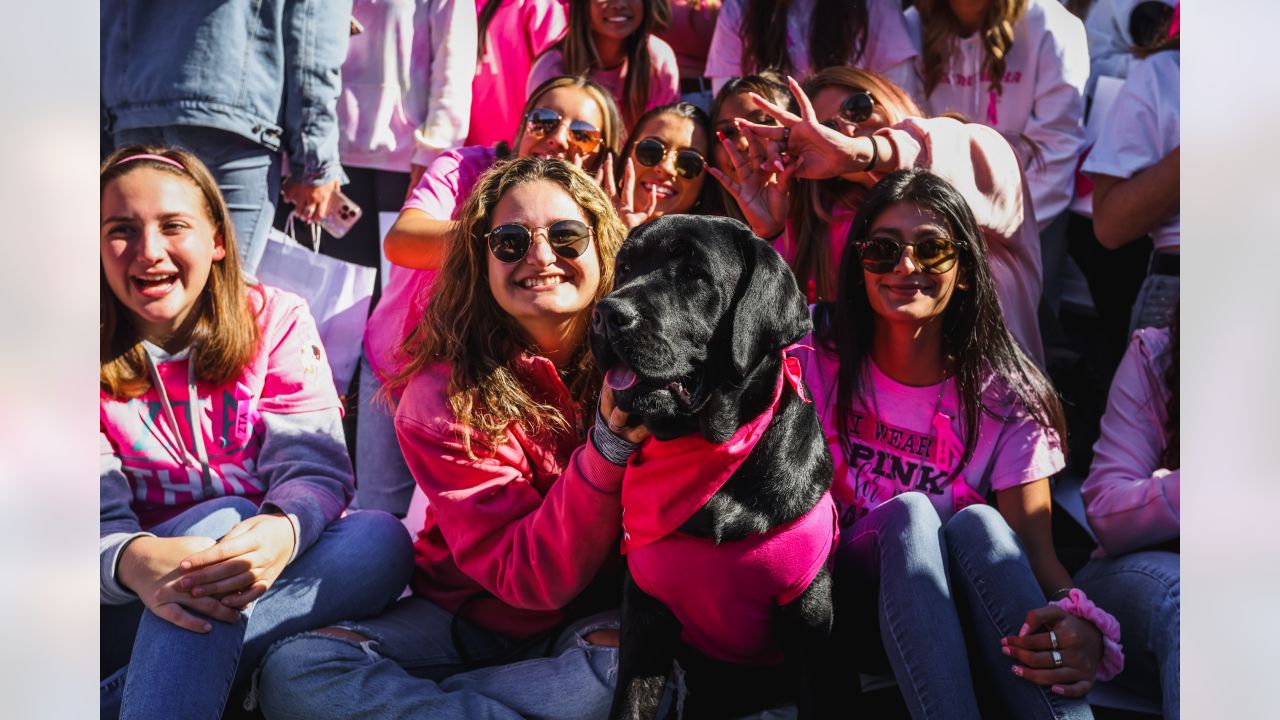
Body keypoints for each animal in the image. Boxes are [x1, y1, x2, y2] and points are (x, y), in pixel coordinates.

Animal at [588, 215, 849, 712]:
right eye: (625, 267)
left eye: (693, 274)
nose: (607, 314)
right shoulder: (646, 614)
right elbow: (631, 700)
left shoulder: (812, 616)